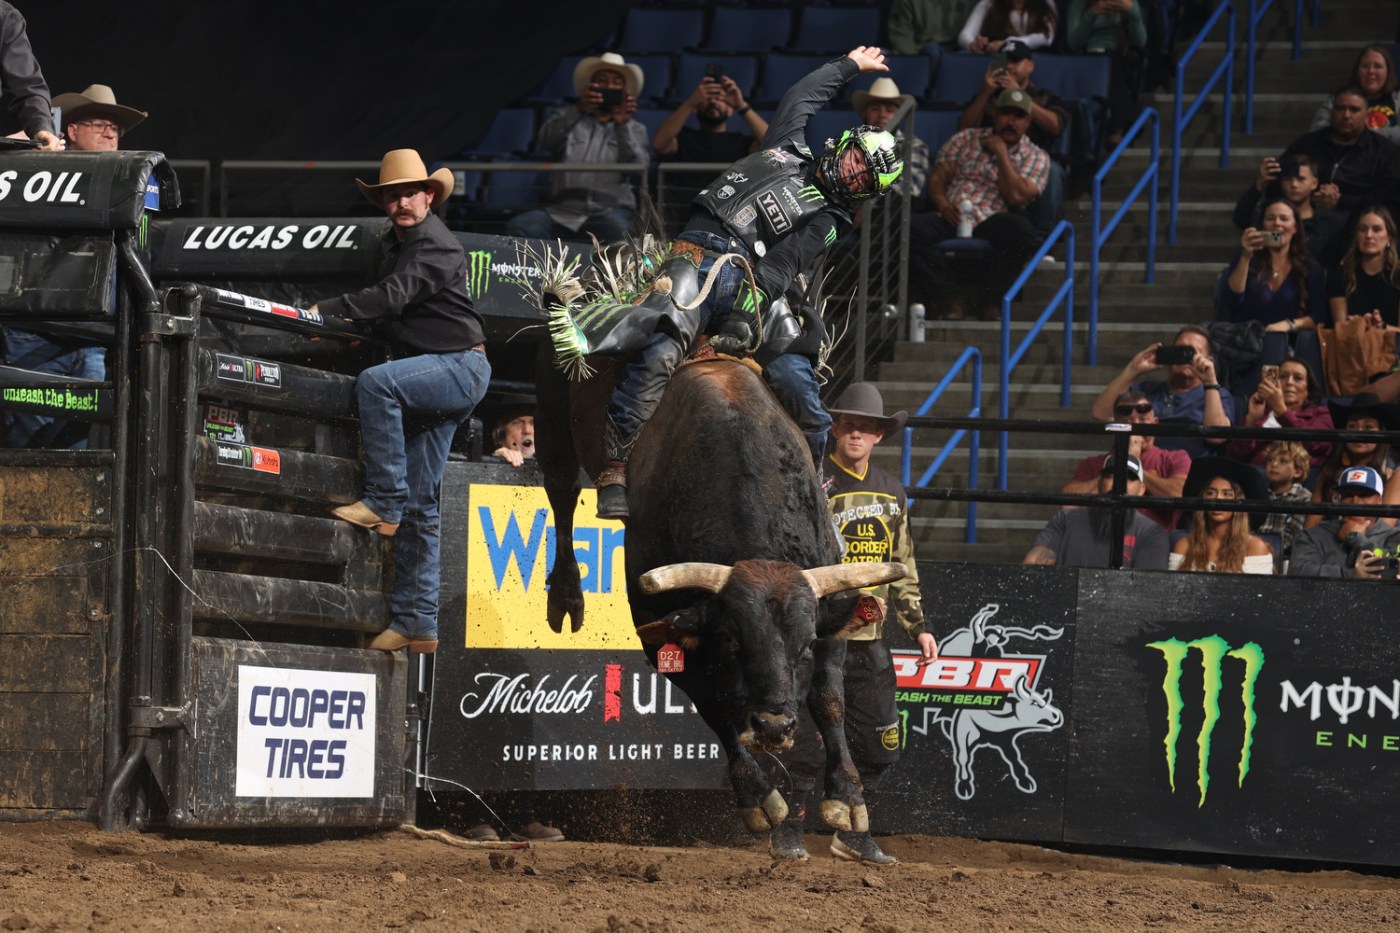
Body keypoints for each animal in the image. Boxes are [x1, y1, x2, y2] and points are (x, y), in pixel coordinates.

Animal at [534, 347, 907, 829]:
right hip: (552, 413)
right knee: (561, 491)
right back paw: (566, 596)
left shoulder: (829, 607)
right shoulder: (659, 629)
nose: (773, 727)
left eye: (805, 644)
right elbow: (713, 703)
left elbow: (829, 697)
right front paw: (759, 797)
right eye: (730, 640)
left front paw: (846, 795)